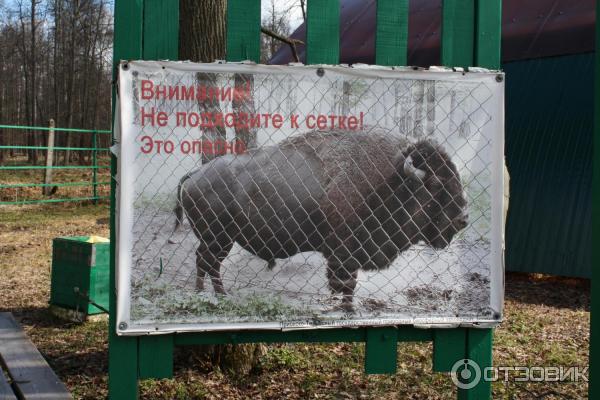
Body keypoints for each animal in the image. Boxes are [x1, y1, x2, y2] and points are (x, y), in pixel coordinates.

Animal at [173, 130, 468, 310]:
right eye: (437, 184)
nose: (463, 218)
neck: (394, 180)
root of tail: (195, 174)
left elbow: (344, 285)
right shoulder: (344, 254)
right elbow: (346, 284)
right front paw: (347, 310)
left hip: (221, 240)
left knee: (206, 262)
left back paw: (210, 295)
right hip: (218, 239)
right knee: (208, 262)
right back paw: (214, 295)